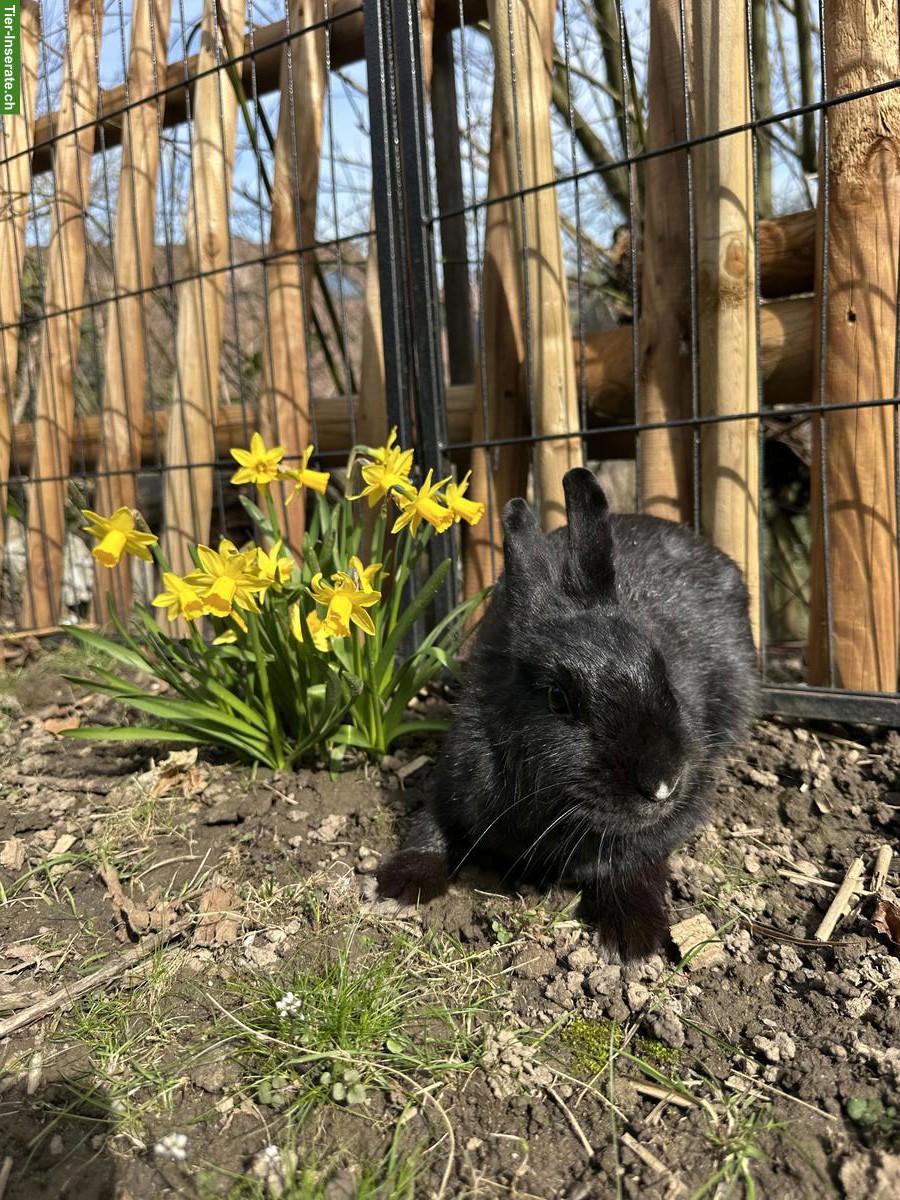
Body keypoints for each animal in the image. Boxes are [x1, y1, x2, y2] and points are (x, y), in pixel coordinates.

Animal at [377, 468, 758, 961]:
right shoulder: (455, 784)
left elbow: (634, 861)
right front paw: (397, 884)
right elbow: (431, 827)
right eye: (559, 699)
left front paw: (632, 936)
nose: (662, 785)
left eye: (664, 673)